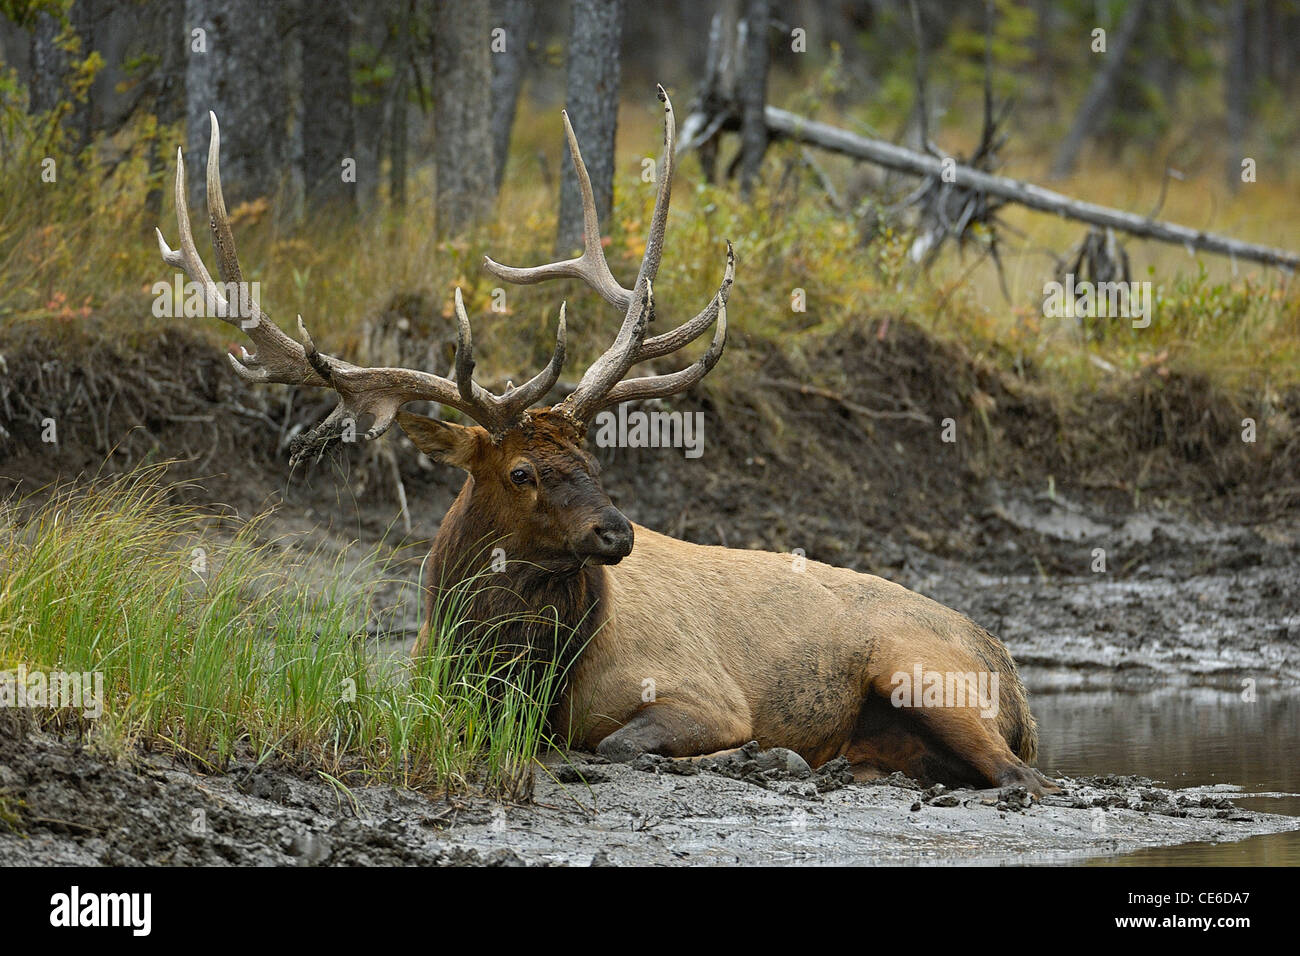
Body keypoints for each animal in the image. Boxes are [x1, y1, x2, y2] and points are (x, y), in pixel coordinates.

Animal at [159, 91, 1055, 790]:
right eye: (522, 471)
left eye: (595, 459)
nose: (616, 531)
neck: (513, 673)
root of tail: (1013, 677)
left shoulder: (708, 695)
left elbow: (622, 744)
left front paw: (750, 757)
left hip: (922, 670)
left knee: (1022, 776)